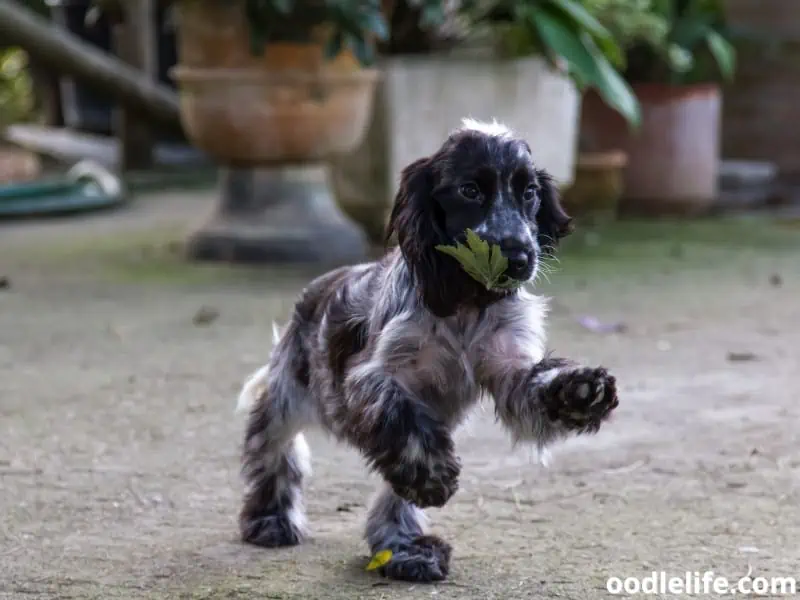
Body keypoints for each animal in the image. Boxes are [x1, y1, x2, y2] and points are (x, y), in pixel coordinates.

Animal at [234, 117, 620, 580]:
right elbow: (406, 425)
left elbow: (537, 388)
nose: (520, 258)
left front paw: (582, 391)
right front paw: (433, 477)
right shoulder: (375, 380)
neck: (466, 304)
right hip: (284, 395)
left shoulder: (509, 371)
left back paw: (405, 550)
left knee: (392, 497)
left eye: (529, 192)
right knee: (275, 452)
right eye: (469, 190)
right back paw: (270, 520)